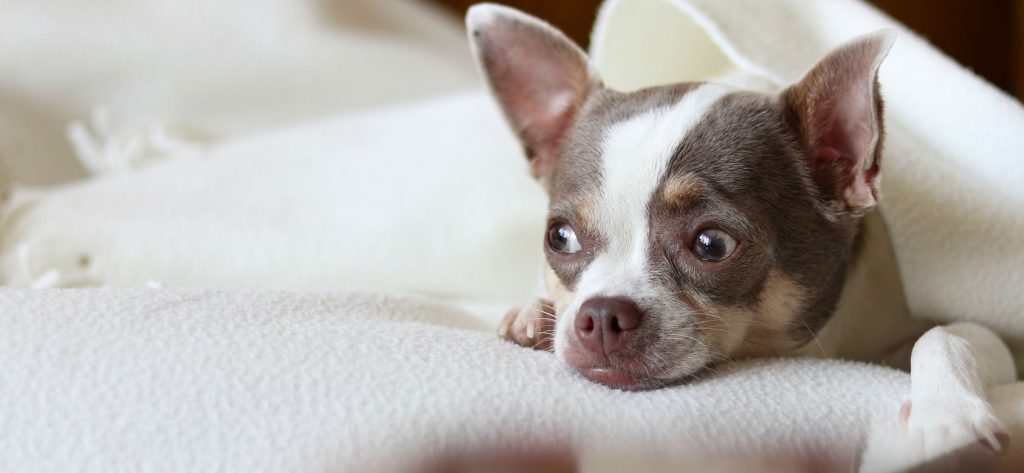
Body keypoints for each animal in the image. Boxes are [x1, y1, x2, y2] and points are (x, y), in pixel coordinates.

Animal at [468, 1, 1015, 462]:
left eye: (712, 245)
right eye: (559, 238)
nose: (600, 314)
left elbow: (946, 335)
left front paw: (945, 418)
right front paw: (532, 312)